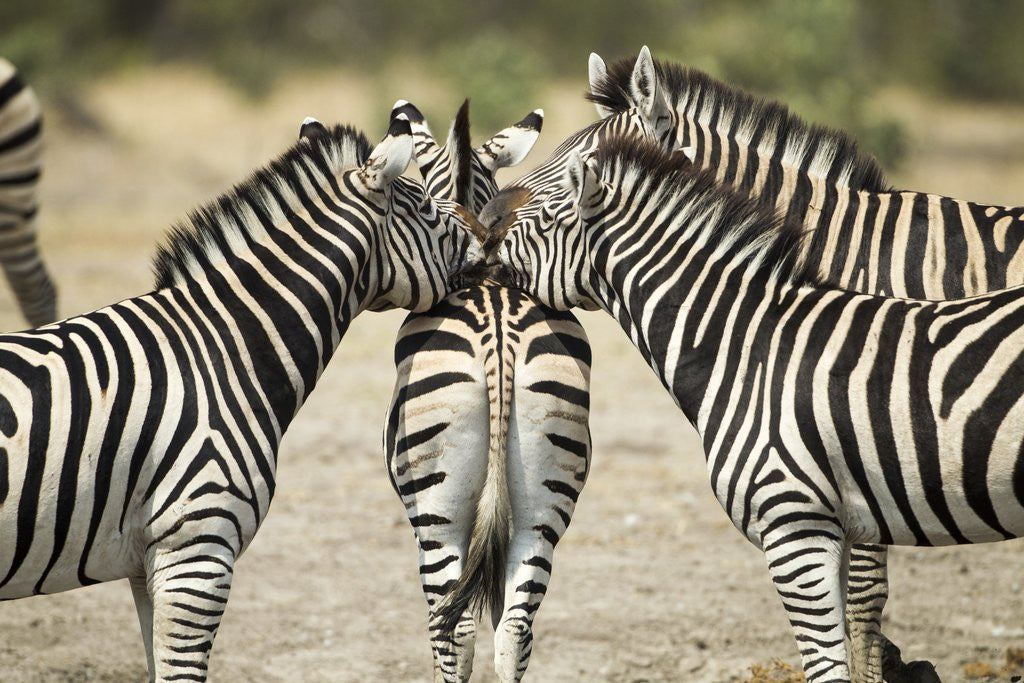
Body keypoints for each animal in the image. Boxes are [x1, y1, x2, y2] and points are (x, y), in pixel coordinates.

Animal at [491, 133, 1024, 683]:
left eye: (545, 217)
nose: (481, 241)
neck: (748, 345)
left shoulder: (795, 524)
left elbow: (828, 662)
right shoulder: (839, 526)